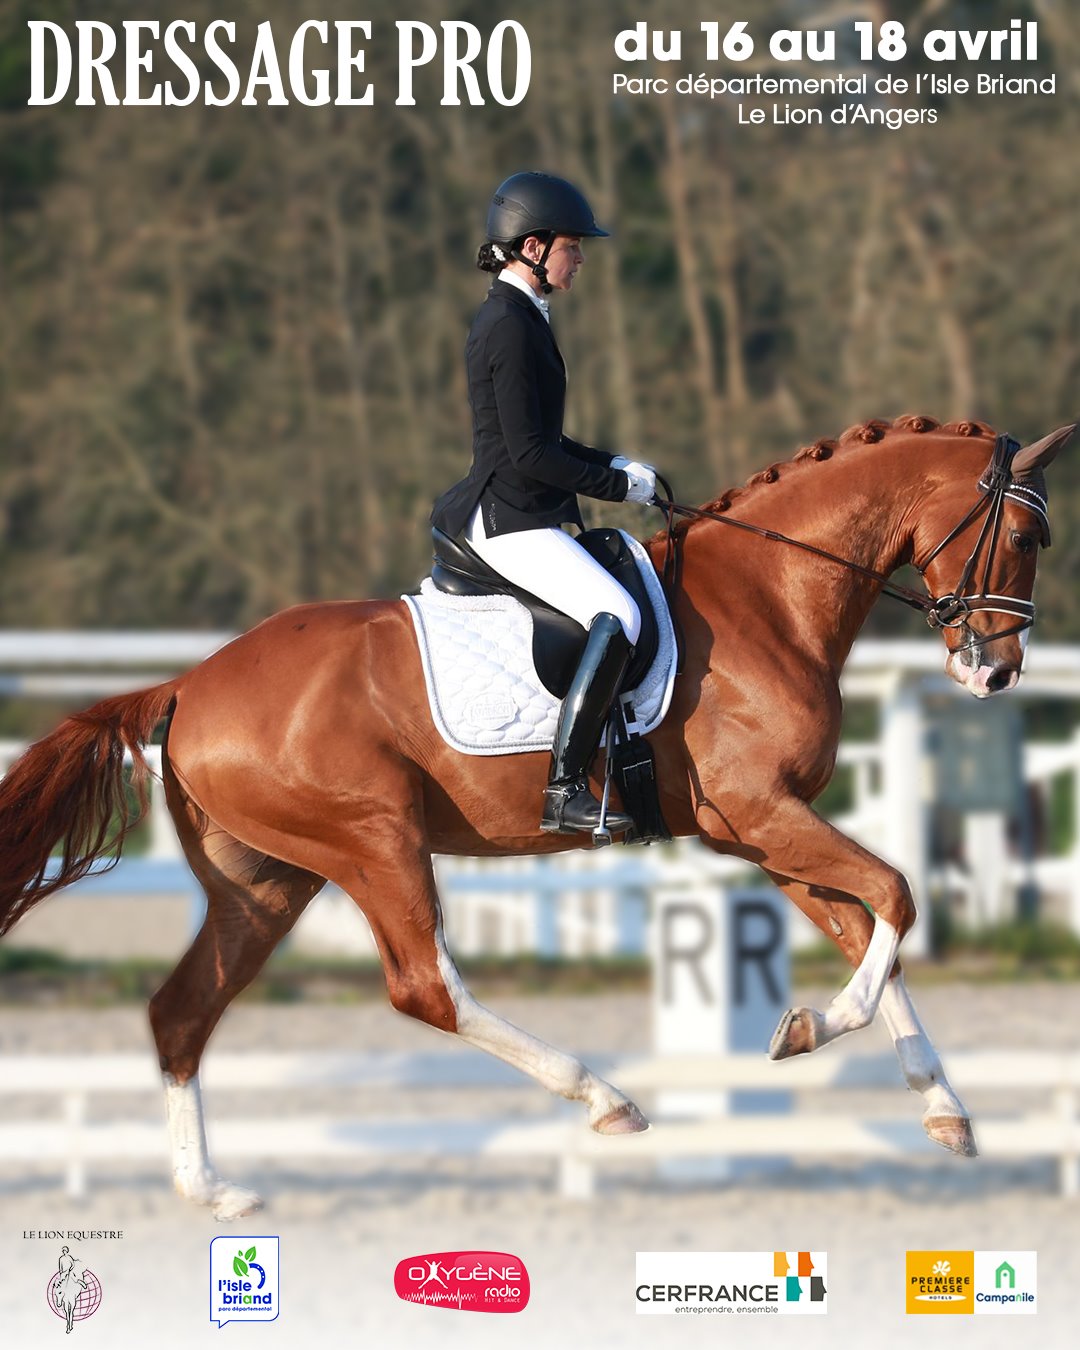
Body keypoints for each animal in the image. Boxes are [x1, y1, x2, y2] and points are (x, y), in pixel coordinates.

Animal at [0, 410, 1069, 1215]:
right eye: (1024, 538)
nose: (996, 673)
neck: (768, 597)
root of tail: (189, 685)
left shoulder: (764, 831)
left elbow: (868, 926)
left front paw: (942, 1109)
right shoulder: (764, 813)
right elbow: (897, 895)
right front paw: (808, 1030)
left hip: (265, 879)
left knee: (183, 1011)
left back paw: (212, 1192)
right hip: (373, 841)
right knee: (424, 987)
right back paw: (602, 1097)